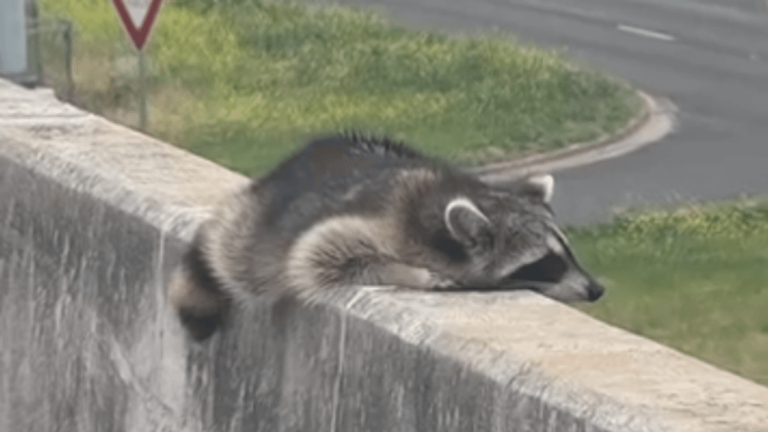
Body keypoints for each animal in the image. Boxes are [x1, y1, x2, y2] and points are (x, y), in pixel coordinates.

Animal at [169, 134, 605, 340]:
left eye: (566, 250)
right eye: (545, 262)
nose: (596, 289)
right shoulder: (379, 221)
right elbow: (316, 255)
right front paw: (415, 273)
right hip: (251, 232)